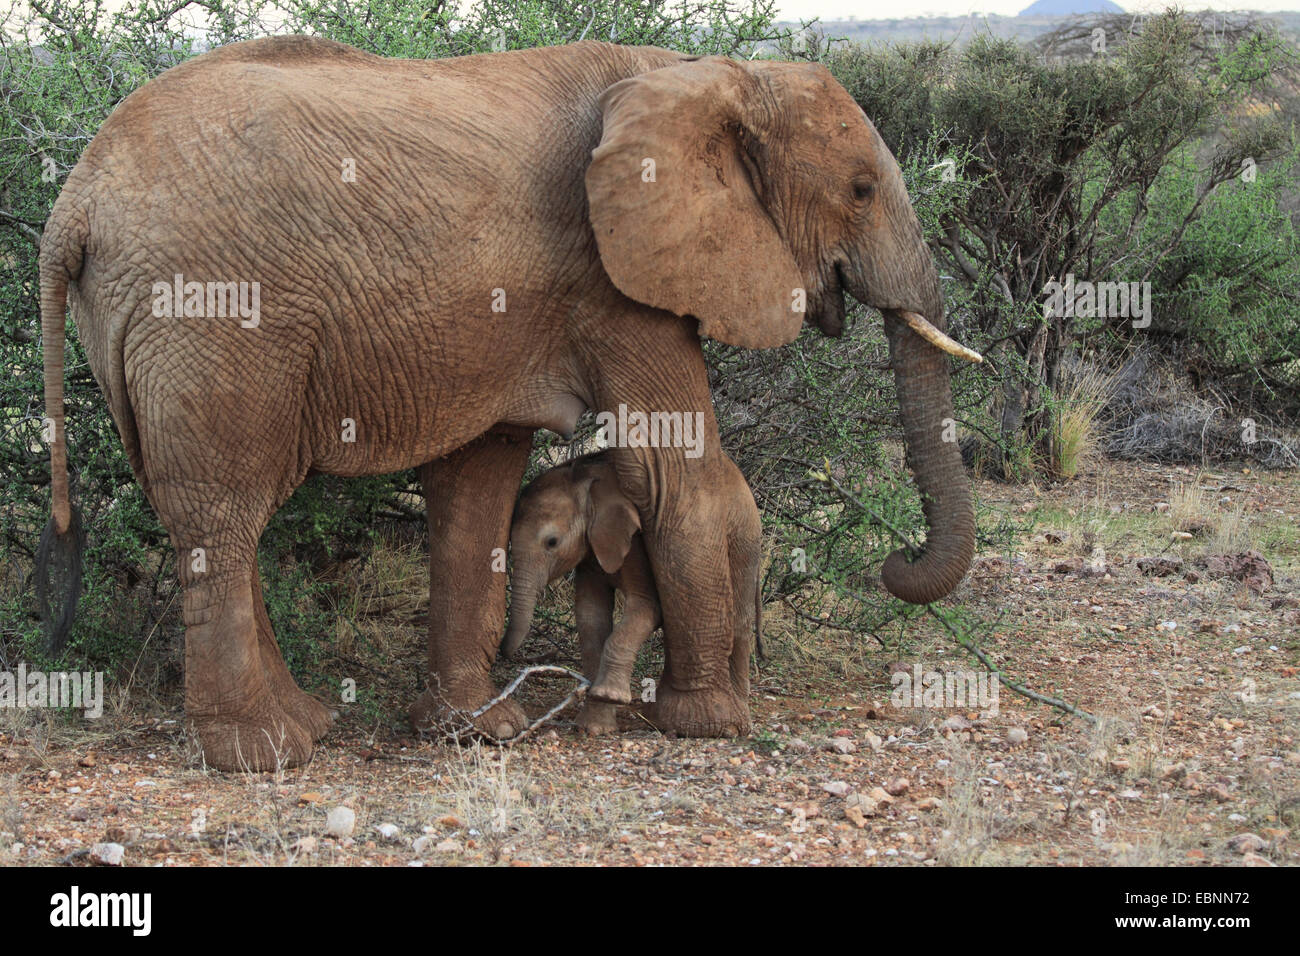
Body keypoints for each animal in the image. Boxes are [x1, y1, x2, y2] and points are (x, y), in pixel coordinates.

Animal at [499, 452, 759, 738]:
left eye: (552, 542)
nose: (502, 650)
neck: (585, 479)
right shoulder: (591, 549)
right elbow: (590, 616)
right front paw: (594, 726)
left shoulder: (635, 541)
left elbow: (647, 607)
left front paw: (608, 695)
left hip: (744, 541)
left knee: (739, 620)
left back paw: (738, 707)